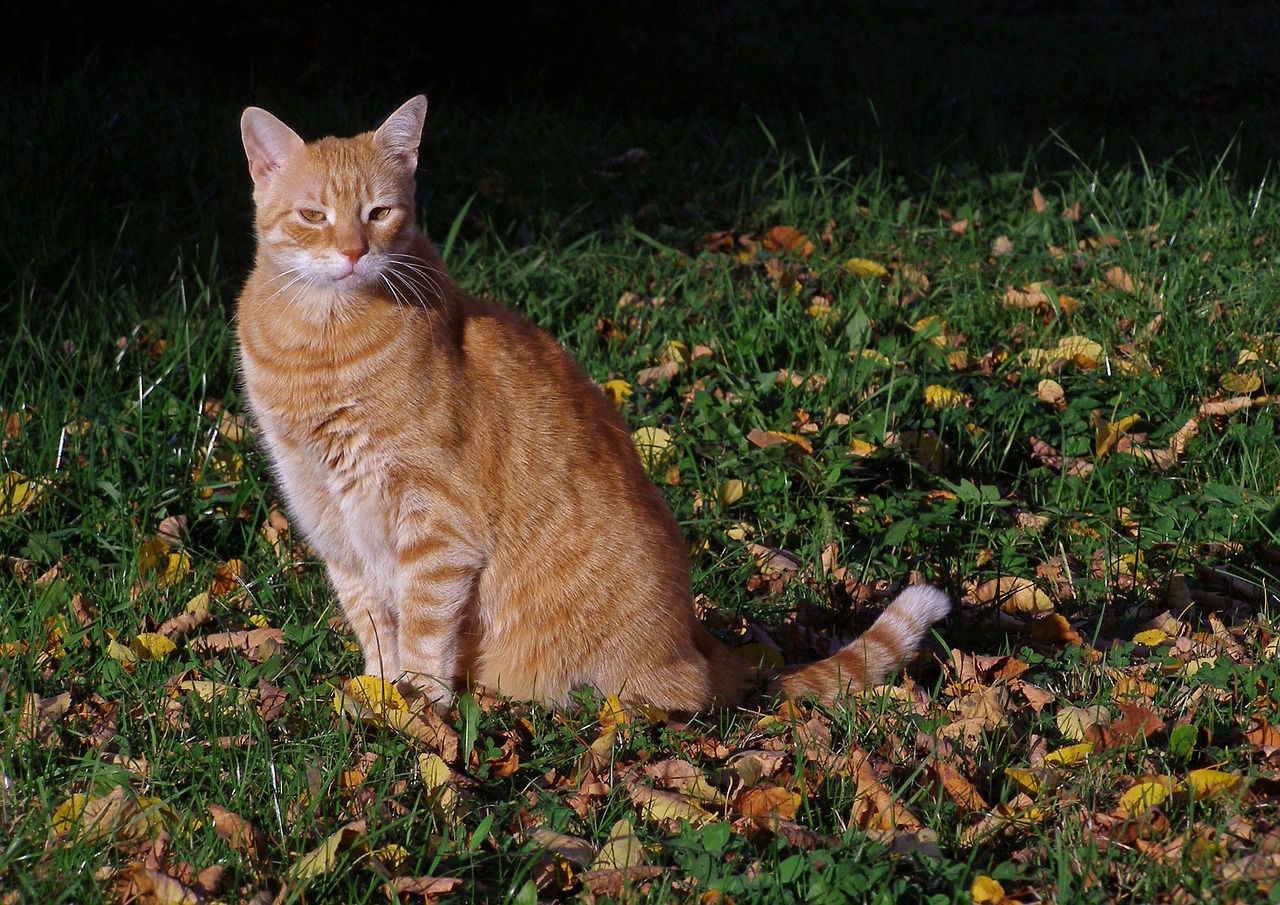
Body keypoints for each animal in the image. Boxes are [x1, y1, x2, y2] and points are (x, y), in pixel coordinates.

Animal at [238, 97, 952, 716]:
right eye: (313, 216)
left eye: (379, 212)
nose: (353, 252)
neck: (319, 344)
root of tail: (702, 642)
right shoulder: (330, 520)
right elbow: (373, 623)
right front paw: (379, 694)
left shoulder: (435, 525)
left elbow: (423, 627)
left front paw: (417, 708)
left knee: (681, 696)